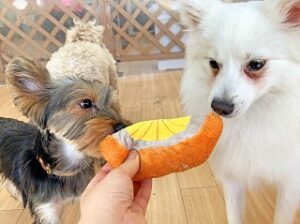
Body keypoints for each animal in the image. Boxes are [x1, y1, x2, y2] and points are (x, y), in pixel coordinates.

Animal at [180, 0, 300, 224]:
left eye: (256, 64)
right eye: (213, 63)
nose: (220, 107)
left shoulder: (291, 184)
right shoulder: (233, 177)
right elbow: (233, 213)